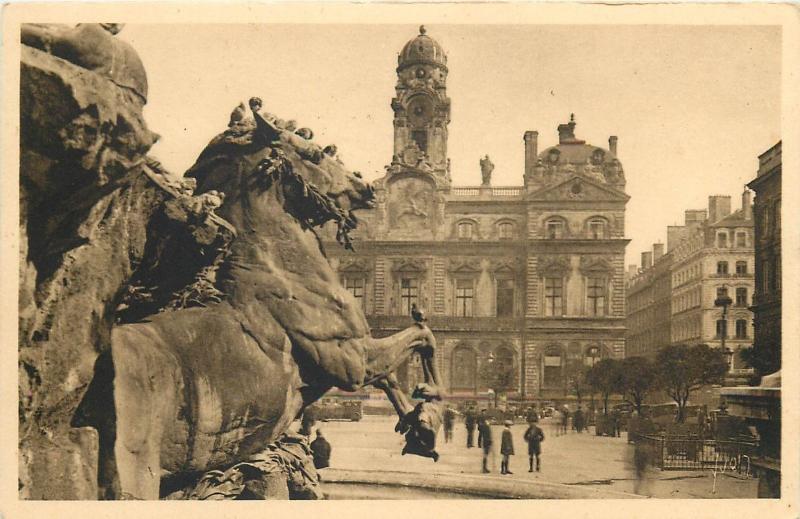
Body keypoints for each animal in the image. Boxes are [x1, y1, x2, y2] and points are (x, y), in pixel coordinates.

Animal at [95, 97, 444, 500]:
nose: (365, 185)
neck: (278, 265)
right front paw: (429, 405)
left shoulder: (358, 353)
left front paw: (419, 428)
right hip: (134, 475)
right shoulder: (351, 358)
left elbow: (396, 368)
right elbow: (421, 338)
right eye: (314, 153)